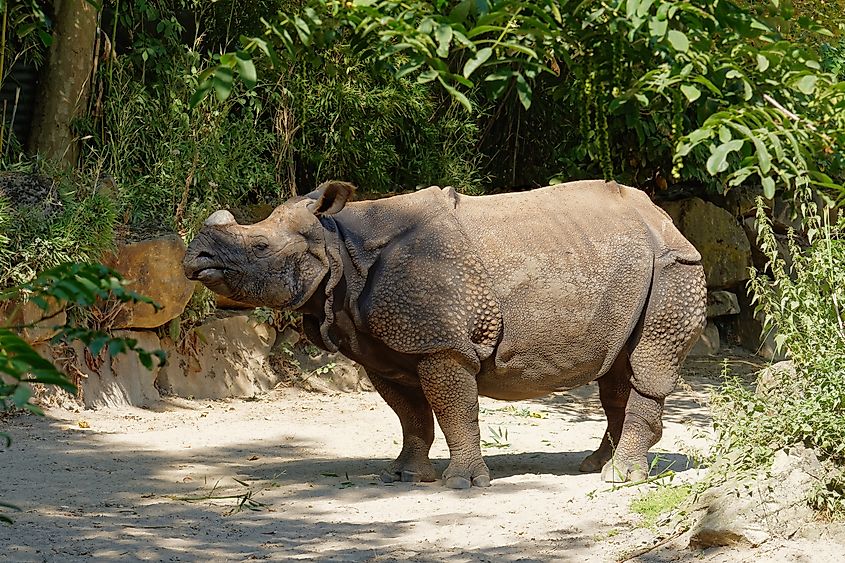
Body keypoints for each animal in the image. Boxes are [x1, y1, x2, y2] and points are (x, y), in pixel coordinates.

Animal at [183, 180, 706, 488]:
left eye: (260, 246)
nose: (193, 258)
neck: (337, 246)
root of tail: (667, 220)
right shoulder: (382, 348)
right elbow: (410, 414)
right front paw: (403, 475)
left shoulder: (441, 344)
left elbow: (455, 409)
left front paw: (463, 484)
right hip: (625, 267)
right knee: (616, 371)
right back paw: (595, 466)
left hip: (676, 268)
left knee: (647, 366)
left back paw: (621, 478)